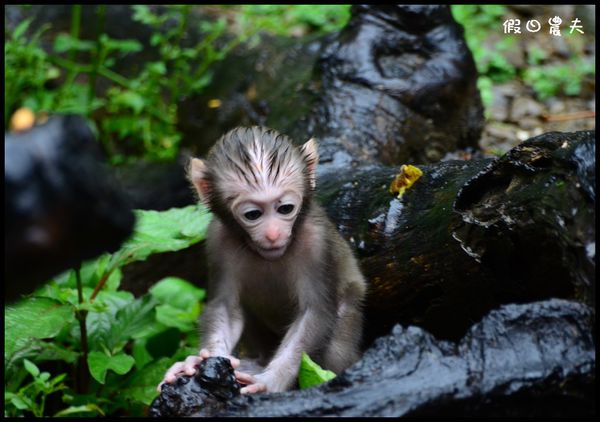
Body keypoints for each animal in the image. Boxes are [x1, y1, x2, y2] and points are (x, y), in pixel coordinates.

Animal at [159, 127, 366, 394]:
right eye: (253, 214)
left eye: (285, 208)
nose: (273, 234)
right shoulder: (218, 241)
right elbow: (226, 307)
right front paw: (198, 361)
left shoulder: (317, 244)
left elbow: (314, 313)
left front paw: (270, 381)